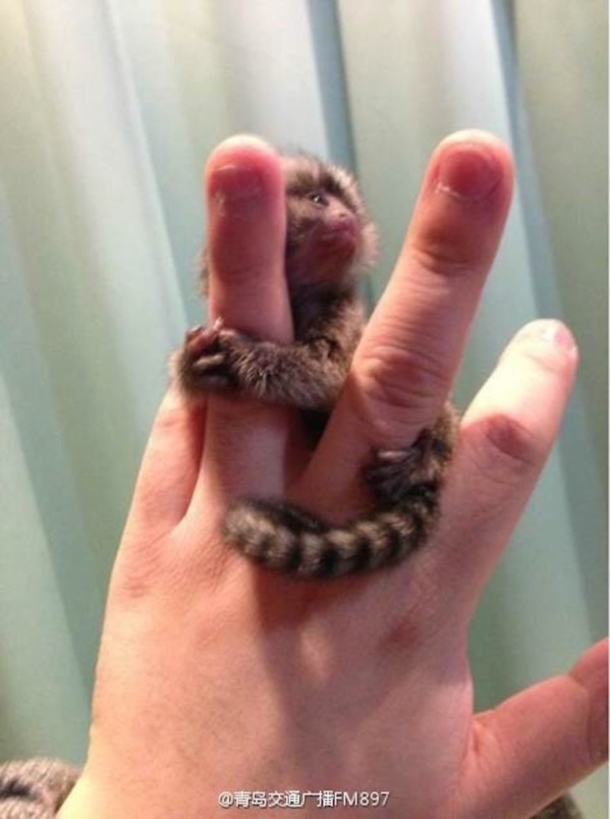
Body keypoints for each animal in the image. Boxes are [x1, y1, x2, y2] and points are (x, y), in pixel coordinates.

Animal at [172, 150, 458, 579]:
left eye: (344, 206)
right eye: (318, 200)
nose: (346, 217)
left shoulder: (341, 311)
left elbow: (329, 376)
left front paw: (243, 357)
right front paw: (192, 364)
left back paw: (426, 458)